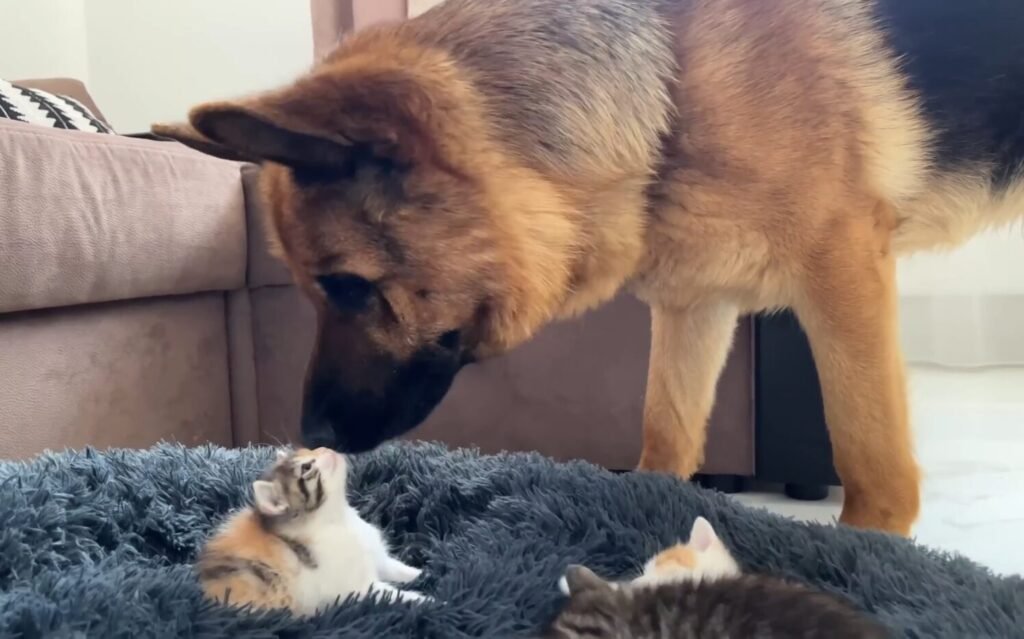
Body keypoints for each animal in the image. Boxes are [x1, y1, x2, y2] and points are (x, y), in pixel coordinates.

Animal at [151, 0, 1024, 536]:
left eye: (348, 286)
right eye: (311, 291)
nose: (312, 435)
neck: (674, 84)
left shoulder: (841, 275)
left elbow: (874, 465)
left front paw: (867, 555)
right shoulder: (696, 307)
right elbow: (666, 433)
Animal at [197, 446, 425, 618]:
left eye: (307, 449)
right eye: (306, 466)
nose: (327, 447)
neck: (338, 518)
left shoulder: (376, 557)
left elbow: (394, 567)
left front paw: (421, 573)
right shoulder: (357, 589)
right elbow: (390, 595)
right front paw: (425, 600)